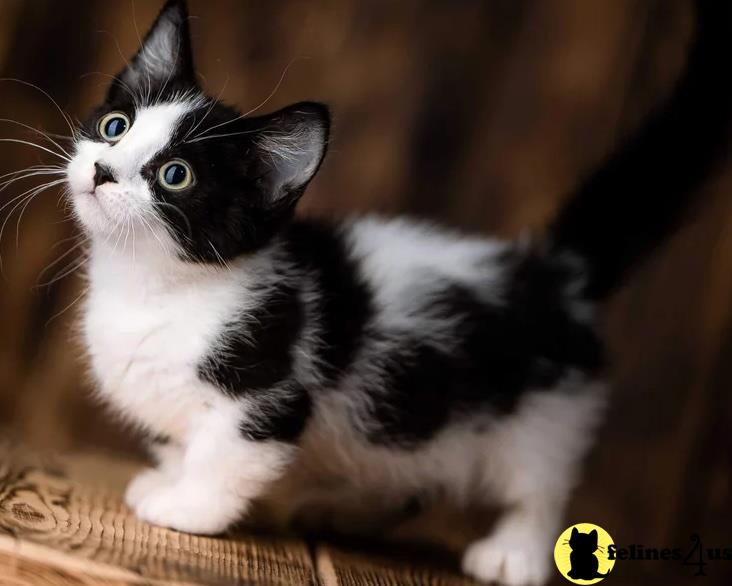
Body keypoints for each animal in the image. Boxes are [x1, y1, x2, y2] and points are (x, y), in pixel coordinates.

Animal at [61, 1, 728, 584]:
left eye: (175, 175)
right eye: (115, 127)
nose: (101, 171)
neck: (152, 284)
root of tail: (552, 274)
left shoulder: (271, 387)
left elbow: (223, 455)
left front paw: (188, 508)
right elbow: (179, 442)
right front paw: (165, 479)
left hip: (546, 412)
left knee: (538, 486)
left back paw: (515, 553)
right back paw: (344, 510)